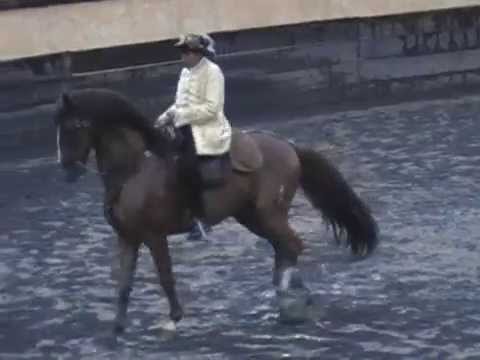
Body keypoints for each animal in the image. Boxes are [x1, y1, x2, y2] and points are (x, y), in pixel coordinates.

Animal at [54, 88, 378, 336]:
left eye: (72, 126)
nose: (66, 169)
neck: (133, 171)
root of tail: (289, 147)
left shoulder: (154, 236)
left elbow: (166, 278)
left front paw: (173, 320)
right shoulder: (128, 238)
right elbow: (123, 286)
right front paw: (117, 329)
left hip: (268, 214)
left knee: (293, 245)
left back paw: (291, 298)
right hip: (252, 217)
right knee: (284, 249)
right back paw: (283, 296)